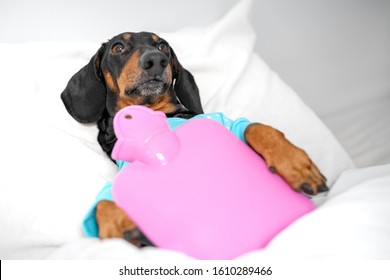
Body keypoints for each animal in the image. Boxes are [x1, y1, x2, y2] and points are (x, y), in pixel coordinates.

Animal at [61, 32, 330, 245]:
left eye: (163, 46)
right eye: (117, 47)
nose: (155, 60)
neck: (155, 115)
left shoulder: (226, 122)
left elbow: (255, 127)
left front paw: (297, 165)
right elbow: (102, 202)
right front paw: (119, 228)